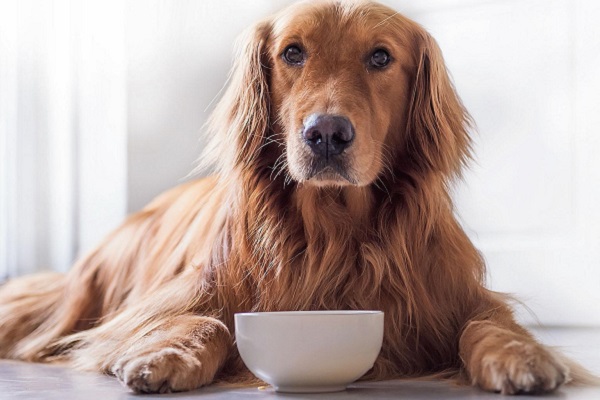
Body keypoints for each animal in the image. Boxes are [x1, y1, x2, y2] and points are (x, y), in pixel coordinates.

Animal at [0, 0, 596, 394]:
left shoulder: (458, 295)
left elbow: (486, 324)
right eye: (292, 52)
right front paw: (167, 354)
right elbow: (207, 320)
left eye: (380, 58)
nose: (326, 134)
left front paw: (521, 356)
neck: (334, 227)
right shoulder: (172, 301)